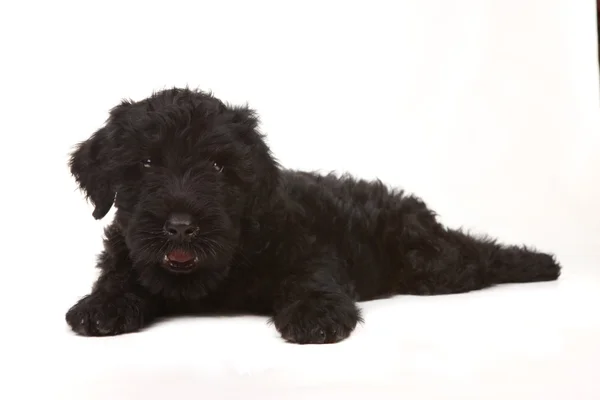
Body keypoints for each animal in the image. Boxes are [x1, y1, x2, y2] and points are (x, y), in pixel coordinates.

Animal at [67, 86, 564, 344]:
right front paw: (102, 305)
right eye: (147, 163)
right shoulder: (127, 254)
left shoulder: (306, 247)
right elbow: (119, 276)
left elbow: (310, 277)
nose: (181, 227)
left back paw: (539, 262)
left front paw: (315, 312)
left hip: (434, 263)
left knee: (475, 255)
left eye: (218, 167)